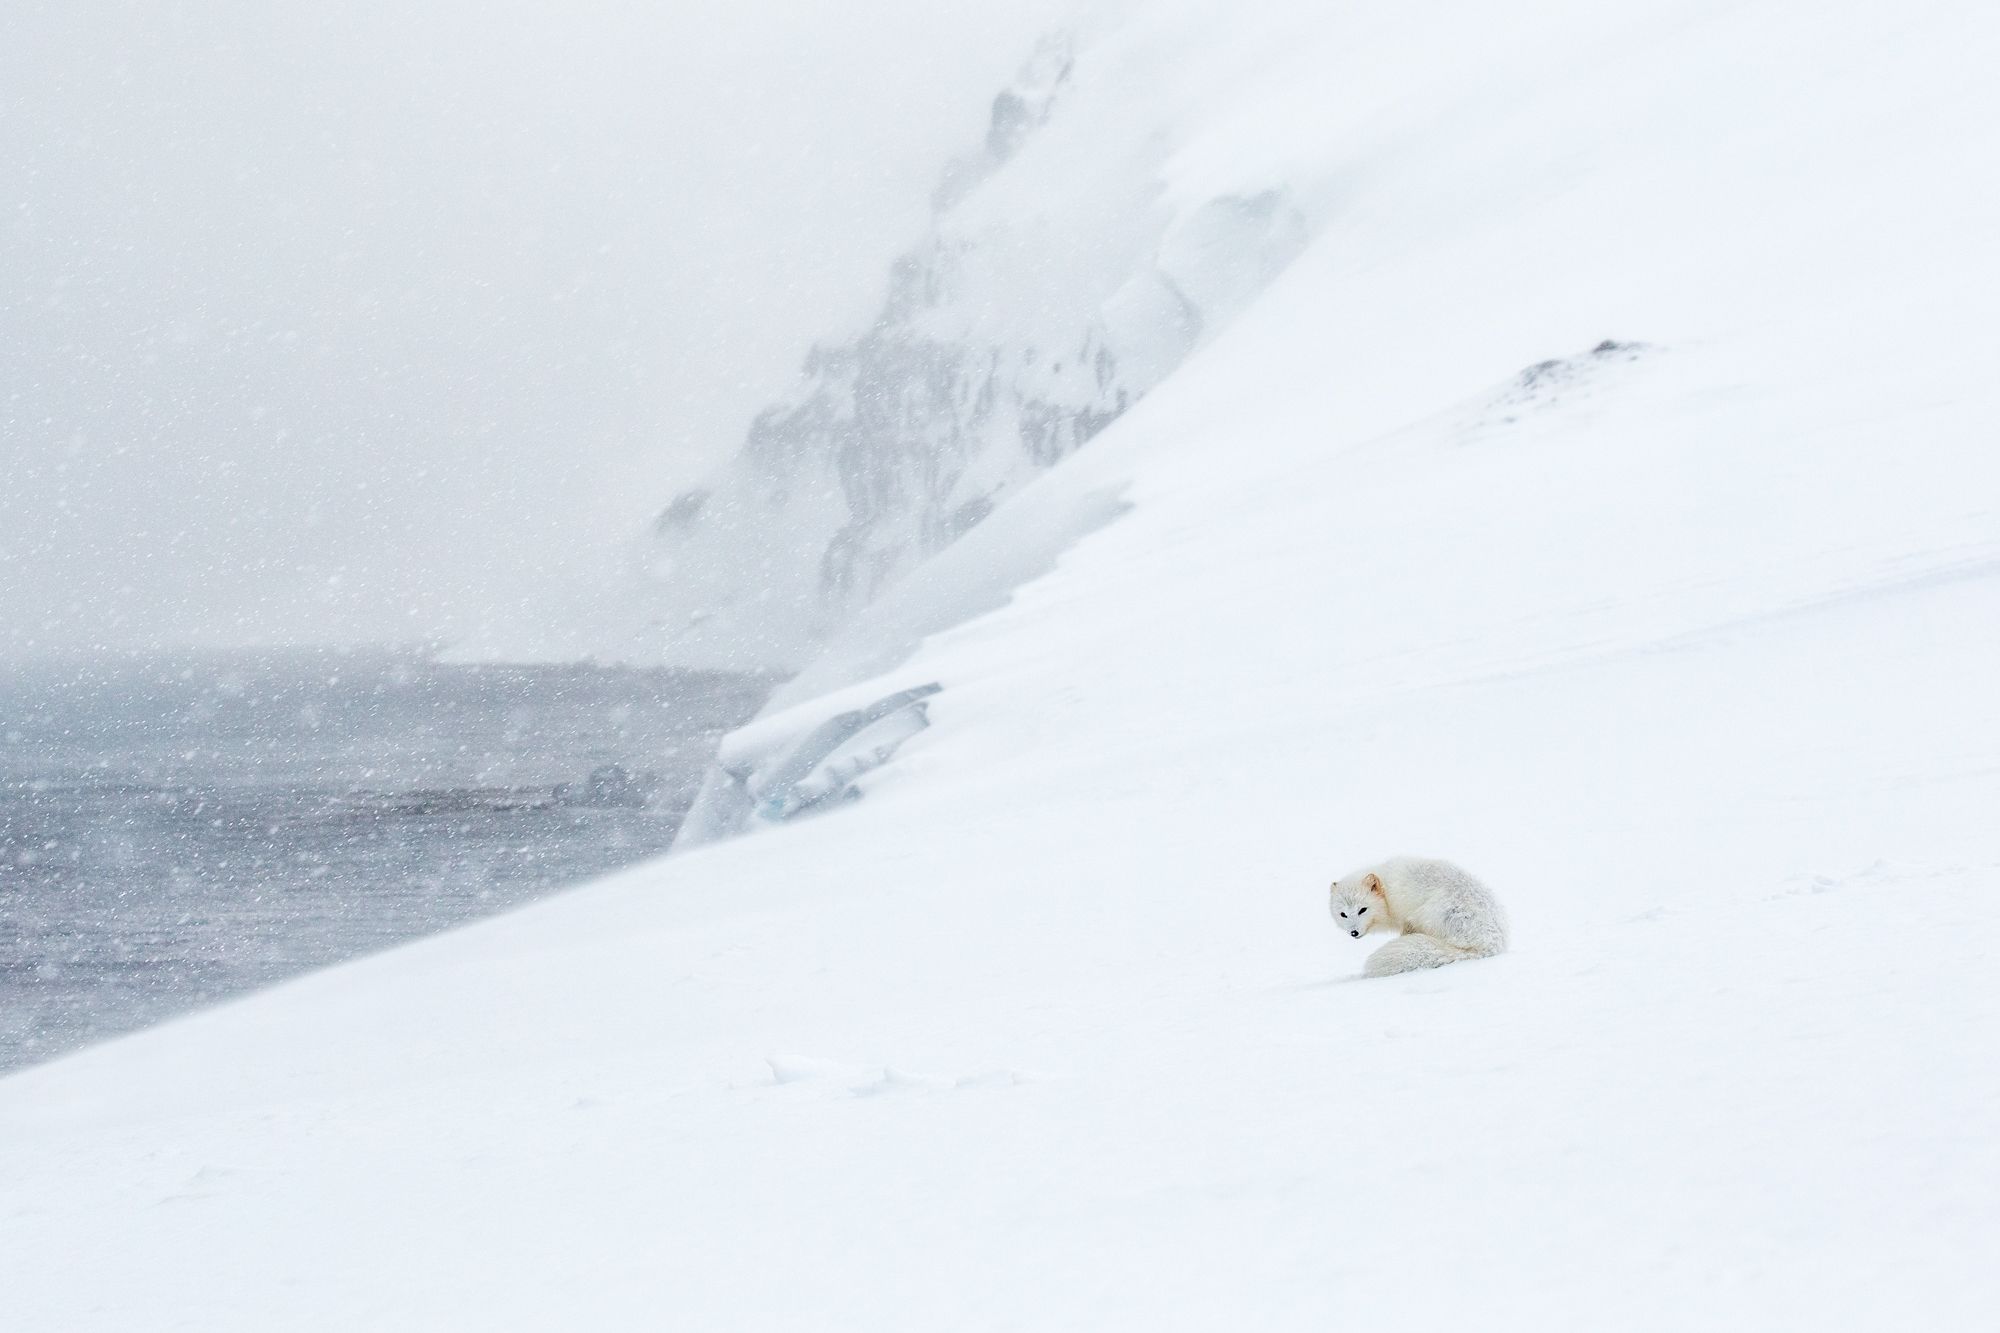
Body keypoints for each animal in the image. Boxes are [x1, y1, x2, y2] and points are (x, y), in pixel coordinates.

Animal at [1329, 856, 1508, 977]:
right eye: (1343, 914)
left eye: (1363, 910)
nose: (1354, 932)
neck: (1387, 893)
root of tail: (1492, 942)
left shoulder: (1406, 919)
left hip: (1431, 913)